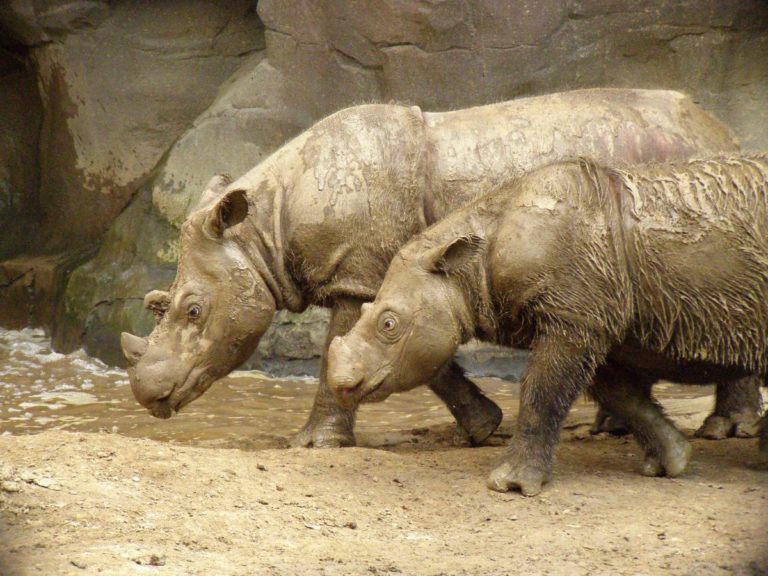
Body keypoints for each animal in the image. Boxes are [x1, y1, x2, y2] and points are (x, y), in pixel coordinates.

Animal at [121, 89, 760, 446]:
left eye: (193, 310)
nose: (148, 396)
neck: (263, 231)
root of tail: (721, 126)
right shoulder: (406, 272)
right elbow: (422, 355)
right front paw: (482, 427)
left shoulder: (362, 271)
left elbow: (346, 347)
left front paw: (311, 444)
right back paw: (614, 427)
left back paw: (725, 431)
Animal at [328, 154, 768, 496]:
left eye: (389, 324)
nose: (340, 384)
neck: (466, 266)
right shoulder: (592, 317)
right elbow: (620, 394)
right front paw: (671, 462)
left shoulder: (573, 318)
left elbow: (542, 392)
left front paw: (510, 485)